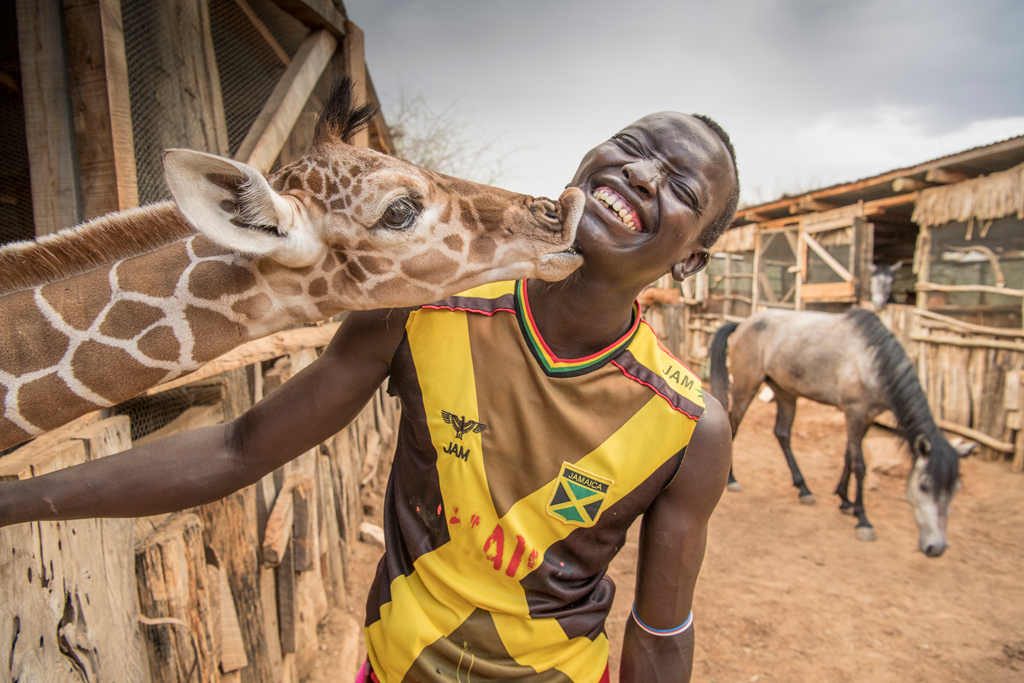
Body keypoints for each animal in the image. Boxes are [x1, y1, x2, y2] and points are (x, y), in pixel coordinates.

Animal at [712, 309, 974, 557]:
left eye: (956, 489)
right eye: (923, 486)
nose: (937, 548)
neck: (873, 361)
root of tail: (743, 323)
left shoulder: (867, 416)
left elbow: (849, 455)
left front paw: (844, 500)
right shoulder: (854, 411)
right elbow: (860, 464)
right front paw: (862, 519)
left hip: (785, 389)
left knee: (782, 433)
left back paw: (803, 488)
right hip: (747, 385)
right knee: (734, 424)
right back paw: (733, 479)